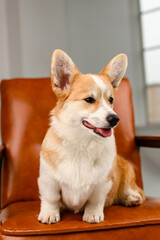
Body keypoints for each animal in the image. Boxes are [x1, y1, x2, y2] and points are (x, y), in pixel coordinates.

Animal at [37, 49, 145, 224]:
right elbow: (51, 198)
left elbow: (95, 201)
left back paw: (132, 198)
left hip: (128, 174)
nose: (115, 119)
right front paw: (49, 214)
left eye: (111, 100)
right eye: (89, 100)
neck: (82, 144)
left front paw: (92, 215)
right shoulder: (48, 180)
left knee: (138, 193)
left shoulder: (102, 184)